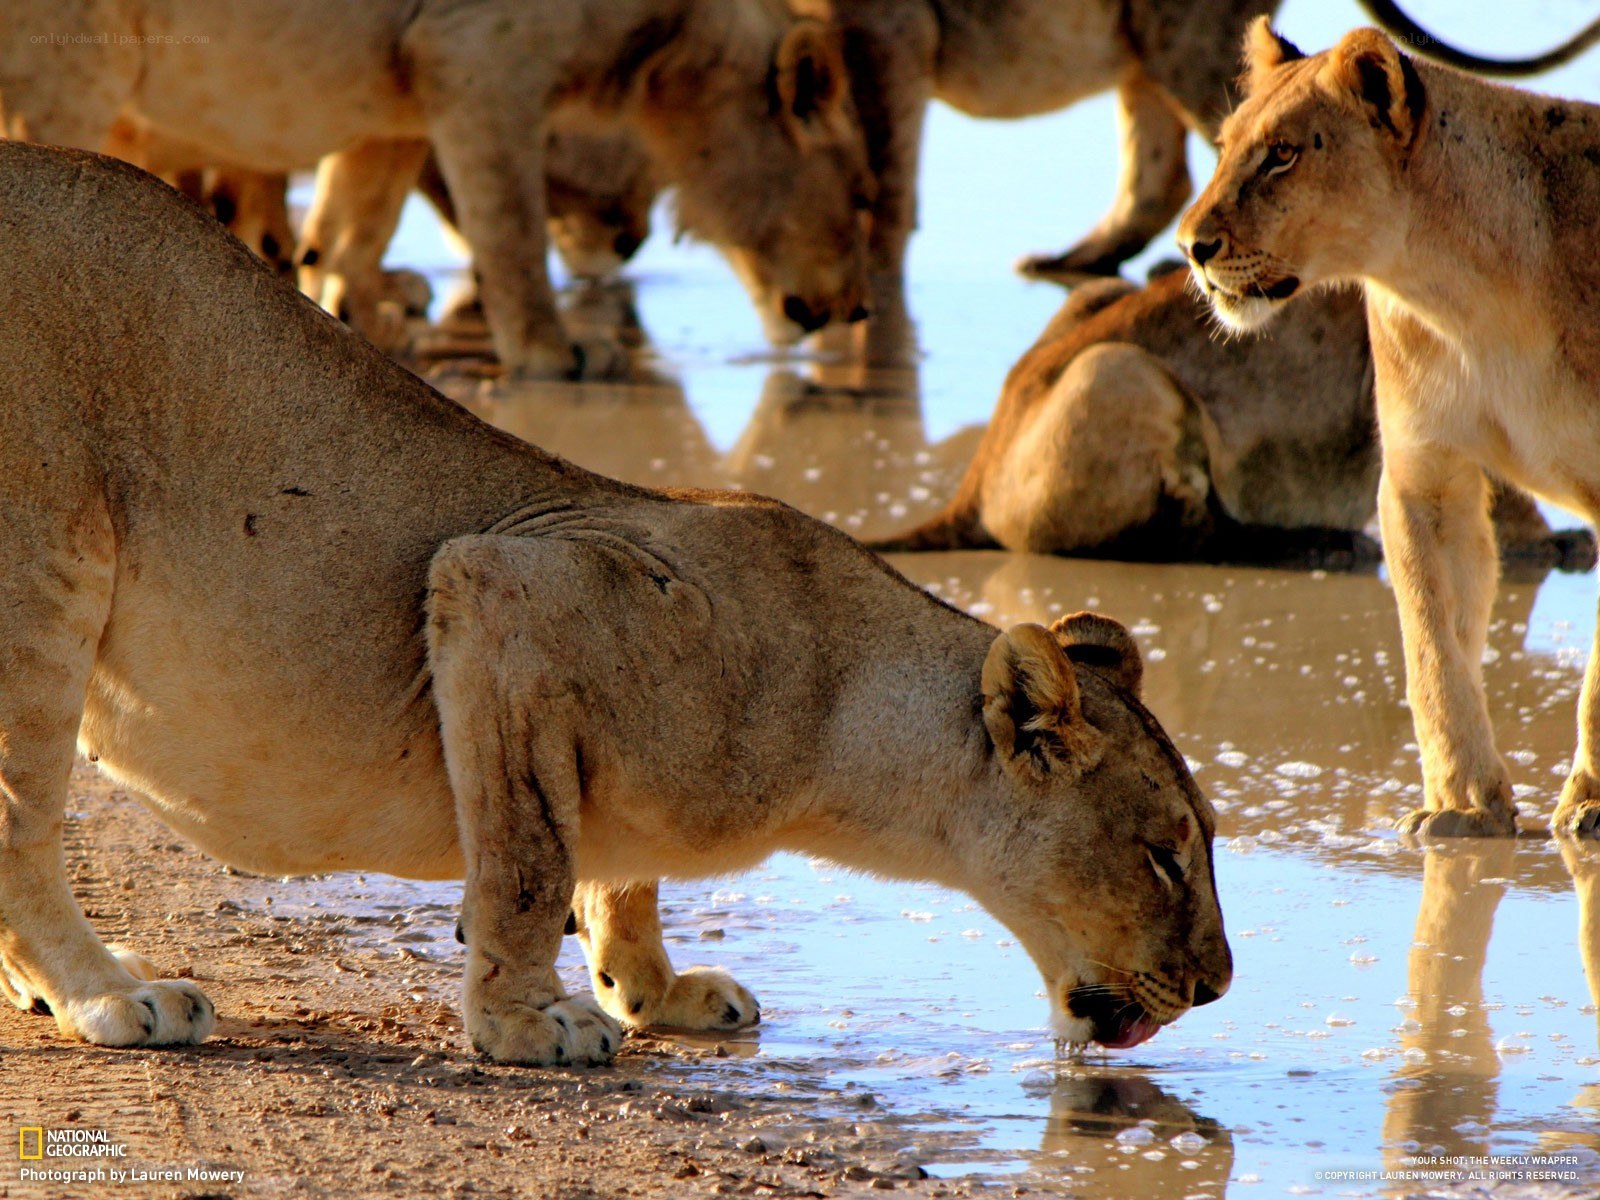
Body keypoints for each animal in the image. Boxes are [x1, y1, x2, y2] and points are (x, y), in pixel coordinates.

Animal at [0, 0, 871, 379]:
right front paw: (555, 351)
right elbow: (511, 230)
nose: (862, 312)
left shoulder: (398, 102)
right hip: (80, 60)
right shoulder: (479, 61)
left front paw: (362, 323)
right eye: (863, 201)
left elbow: (353, 227)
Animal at [0, 142, 1228, 1064]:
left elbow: (617, 872)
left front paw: (652, 992)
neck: (841, 719)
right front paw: (524, 1023)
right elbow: (531, 858)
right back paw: (109, 997)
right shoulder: (497, 589)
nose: (1219, 987)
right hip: (44, 576)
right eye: (1166, 856)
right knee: (23, 829)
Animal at [819, 0, 1600, 361]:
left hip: (1179, 39)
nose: (1195, 250)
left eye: (1282, 155)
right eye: (1236, 150)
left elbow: (882, 182)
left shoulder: (885, 25)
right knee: (1154, 175)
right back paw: (1074, 261)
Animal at [873, 268, 1596, 572]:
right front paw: (1551, 544)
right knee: (1188, 536)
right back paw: (1329, 545)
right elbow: (1502, 492)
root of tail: (973, 478)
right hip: (1120, 369)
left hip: (1098, 299)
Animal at [1178, 20, 1600, 841]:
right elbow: (1432, 645)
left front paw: (1589, 804)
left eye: (1282, 154)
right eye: (1224, 146)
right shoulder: (1422, 473)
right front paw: (1463, 804)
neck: (1462, 294)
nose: (1190, 246)